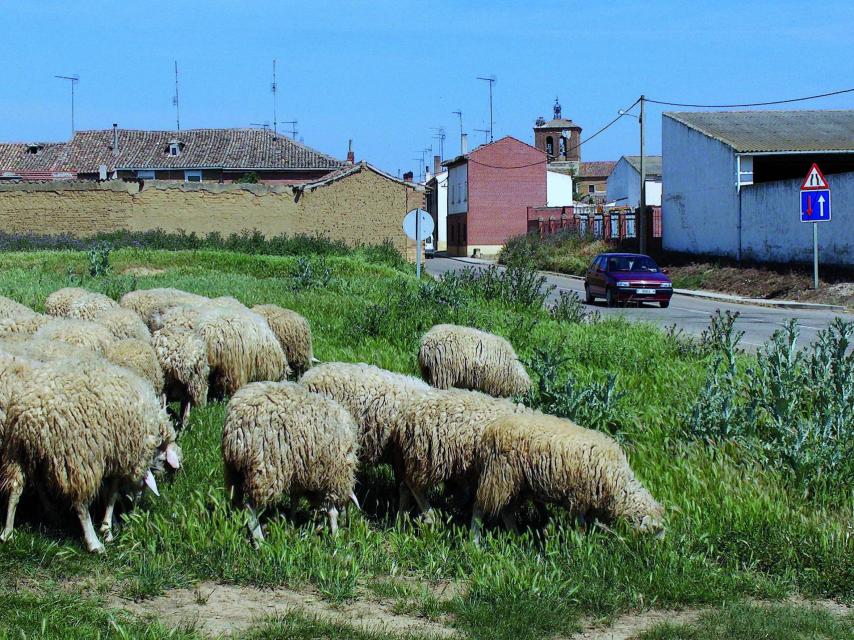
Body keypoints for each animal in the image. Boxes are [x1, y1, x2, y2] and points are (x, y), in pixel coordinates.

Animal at [0, 352, 181, 552]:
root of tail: (32, 414)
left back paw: (8, 533)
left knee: (16, 487)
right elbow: (112, 493)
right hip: (79, 456)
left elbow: (110, 493)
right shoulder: (123, 455)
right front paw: (107, 528)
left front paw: (110, 524)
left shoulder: (115, 455)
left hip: (18, 451)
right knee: (80, 504)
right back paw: (93, 543)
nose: (135, 509)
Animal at [222, 380, 360, 544]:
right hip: (266, 469)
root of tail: (235, 424)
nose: (347, 526)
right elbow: (331, 511)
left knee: (235, 501)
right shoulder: (331, 475)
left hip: (234, 470)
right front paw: (336, 535)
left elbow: (294, 500)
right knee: (250, 509)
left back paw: (236, 526)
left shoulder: (301, 474)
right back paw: (260, 541)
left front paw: (292, 525)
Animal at [474, 410, 668, 540]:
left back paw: (516, 537)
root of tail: (491, 429)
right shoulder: (580, 496)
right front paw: (581, 545)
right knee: (479, 508)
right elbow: (580, 525)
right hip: (498, 477)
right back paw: (475, 541)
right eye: (654, 533)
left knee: (507, 512)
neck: (619, 485)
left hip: (517, 485)